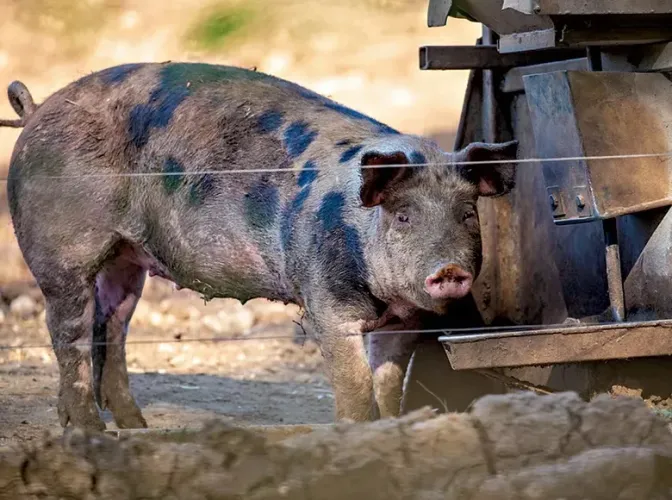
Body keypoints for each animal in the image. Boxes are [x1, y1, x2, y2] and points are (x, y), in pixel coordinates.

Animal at [1, 62, 517, 431]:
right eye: (404, 216)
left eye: (466, 214)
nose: (449, 271)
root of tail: (37, 110)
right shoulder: (326, 304)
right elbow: (354, 386)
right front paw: (356, 430)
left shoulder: (406, 322)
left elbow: (388, 385)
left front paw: (392, 428)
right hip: (61, 252)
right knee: (67, 333)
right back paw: (90, 431)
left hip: (128, 260)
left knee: (113, 325)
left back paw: (136, 427)